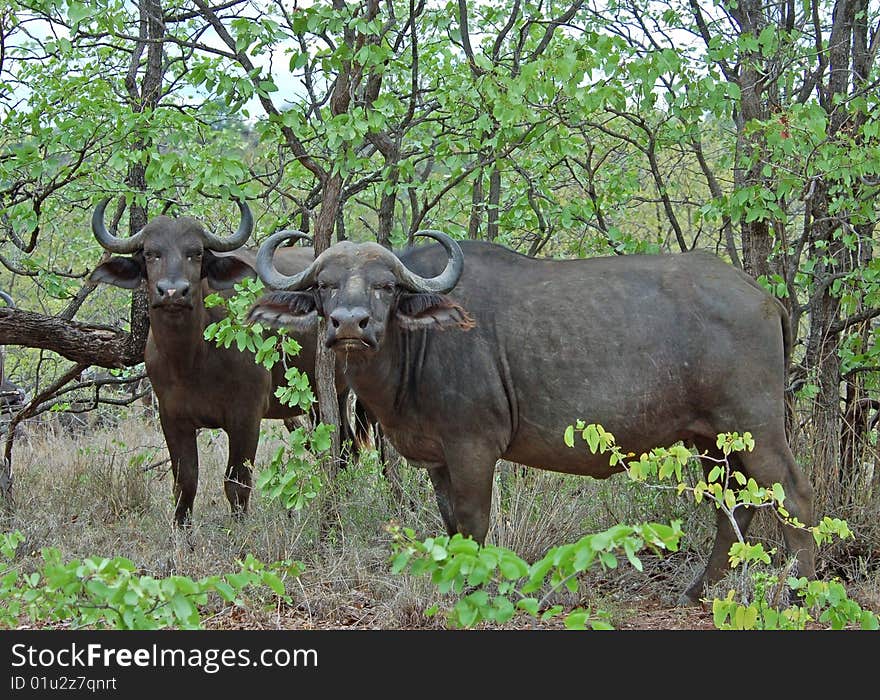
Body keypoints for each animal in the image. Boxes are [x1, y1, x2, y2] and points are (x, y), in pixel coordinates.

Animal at [87, 200, 362, 528]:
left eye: (196, 253)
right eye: (151, 253)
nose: (173, 292)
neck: (190, 361)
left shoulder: (246, 417)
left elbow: (237, 482)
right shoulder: (172, 418)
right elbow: (185, 482)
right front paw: (181, 530)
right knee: (347, 448)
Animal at [248, 232, 820, 604]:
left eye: (386, 286)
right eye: (325, 285)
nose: (350, 324)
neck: (421, 343)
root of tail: (765, 298)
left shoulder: (474, 449)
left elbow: (474, 522)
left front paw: (476, 587)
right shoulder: (438, 460)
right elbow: (450, 523)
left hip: (757, 430)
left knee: (795, 496)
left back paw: (801, 592)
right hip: (713, 440)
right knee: (734, 506)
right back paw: (698, 592)